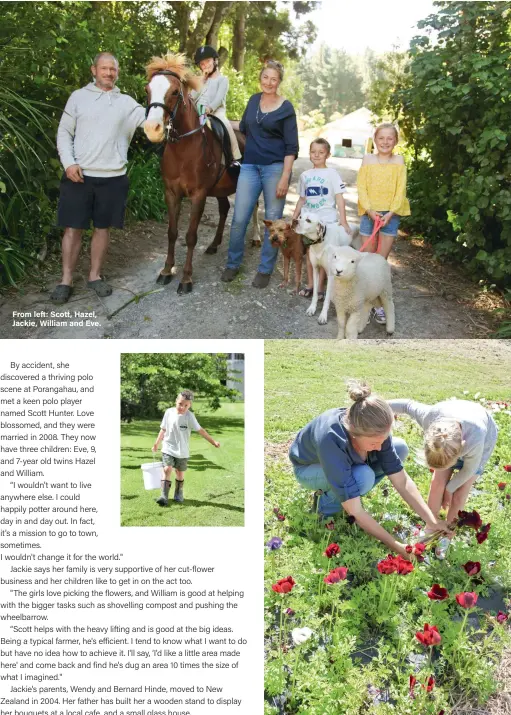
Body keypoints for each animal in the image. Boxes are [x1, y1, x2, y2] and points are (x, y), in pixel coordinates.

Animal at [144, 52, 258, 294]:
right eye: (148, 89)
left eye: (174, 92)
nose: (152, 129)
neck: (184, 148)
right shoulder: (171, 193)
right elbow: (172, 232)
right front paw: (166, 271)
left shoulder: (198, 195)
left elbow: (190, 236)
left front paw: (186, 279)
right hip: (221, 189)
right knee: (224, 209)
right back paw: (214, 245)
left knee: (255, 208)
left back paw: (256, 238)